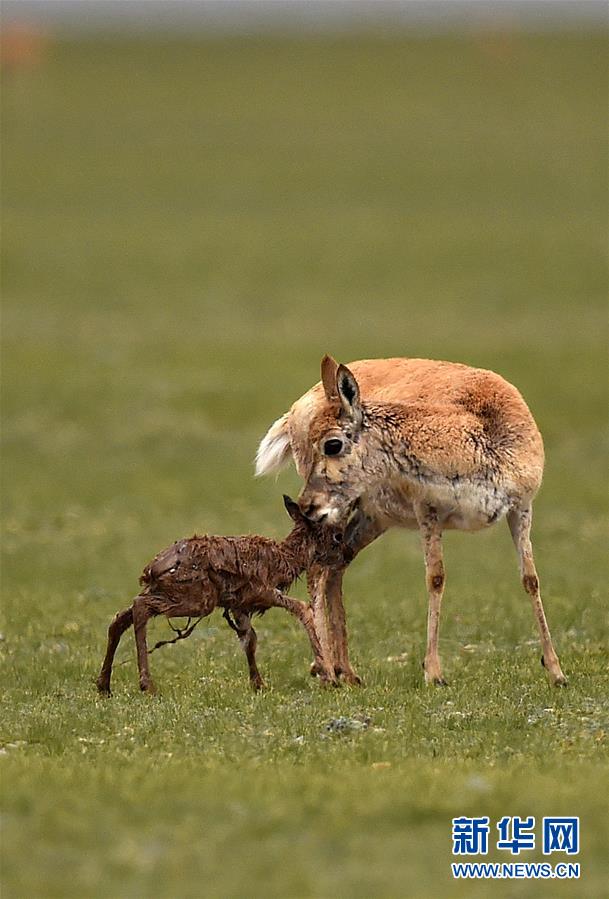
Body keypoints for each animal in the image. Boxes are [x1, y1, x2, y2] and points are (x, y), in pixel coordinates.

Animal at [98, 500, 346, 696]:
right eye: (334, 536)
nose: (343, 546)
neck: (284, 560)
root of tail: (151, 569)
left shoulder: (239, 604)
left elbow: (250, 640)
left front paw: (258, 684)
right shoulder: (261, 590)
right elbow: (302, 608)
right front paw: (328, 677)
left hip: (171, 592)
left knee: (120, 617)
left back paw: (104, 686)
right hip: (197, 598)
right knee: (139, 608)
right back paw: (146, 685)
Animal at [254, 356, 568, 684]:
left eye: (332, 444)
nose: (305, 505)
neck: (481, 428)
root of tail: (297, 406)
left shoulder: (522, 507)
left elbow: (530, 579)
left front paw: (556, 671)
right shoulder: (427, 511)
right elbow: (436, 578)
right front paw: (434, 672)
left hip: (371, 518)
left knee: (334, 567)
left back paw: (347, 672)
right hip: (345, 512)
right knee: (318, 569)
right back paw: (326, 669)